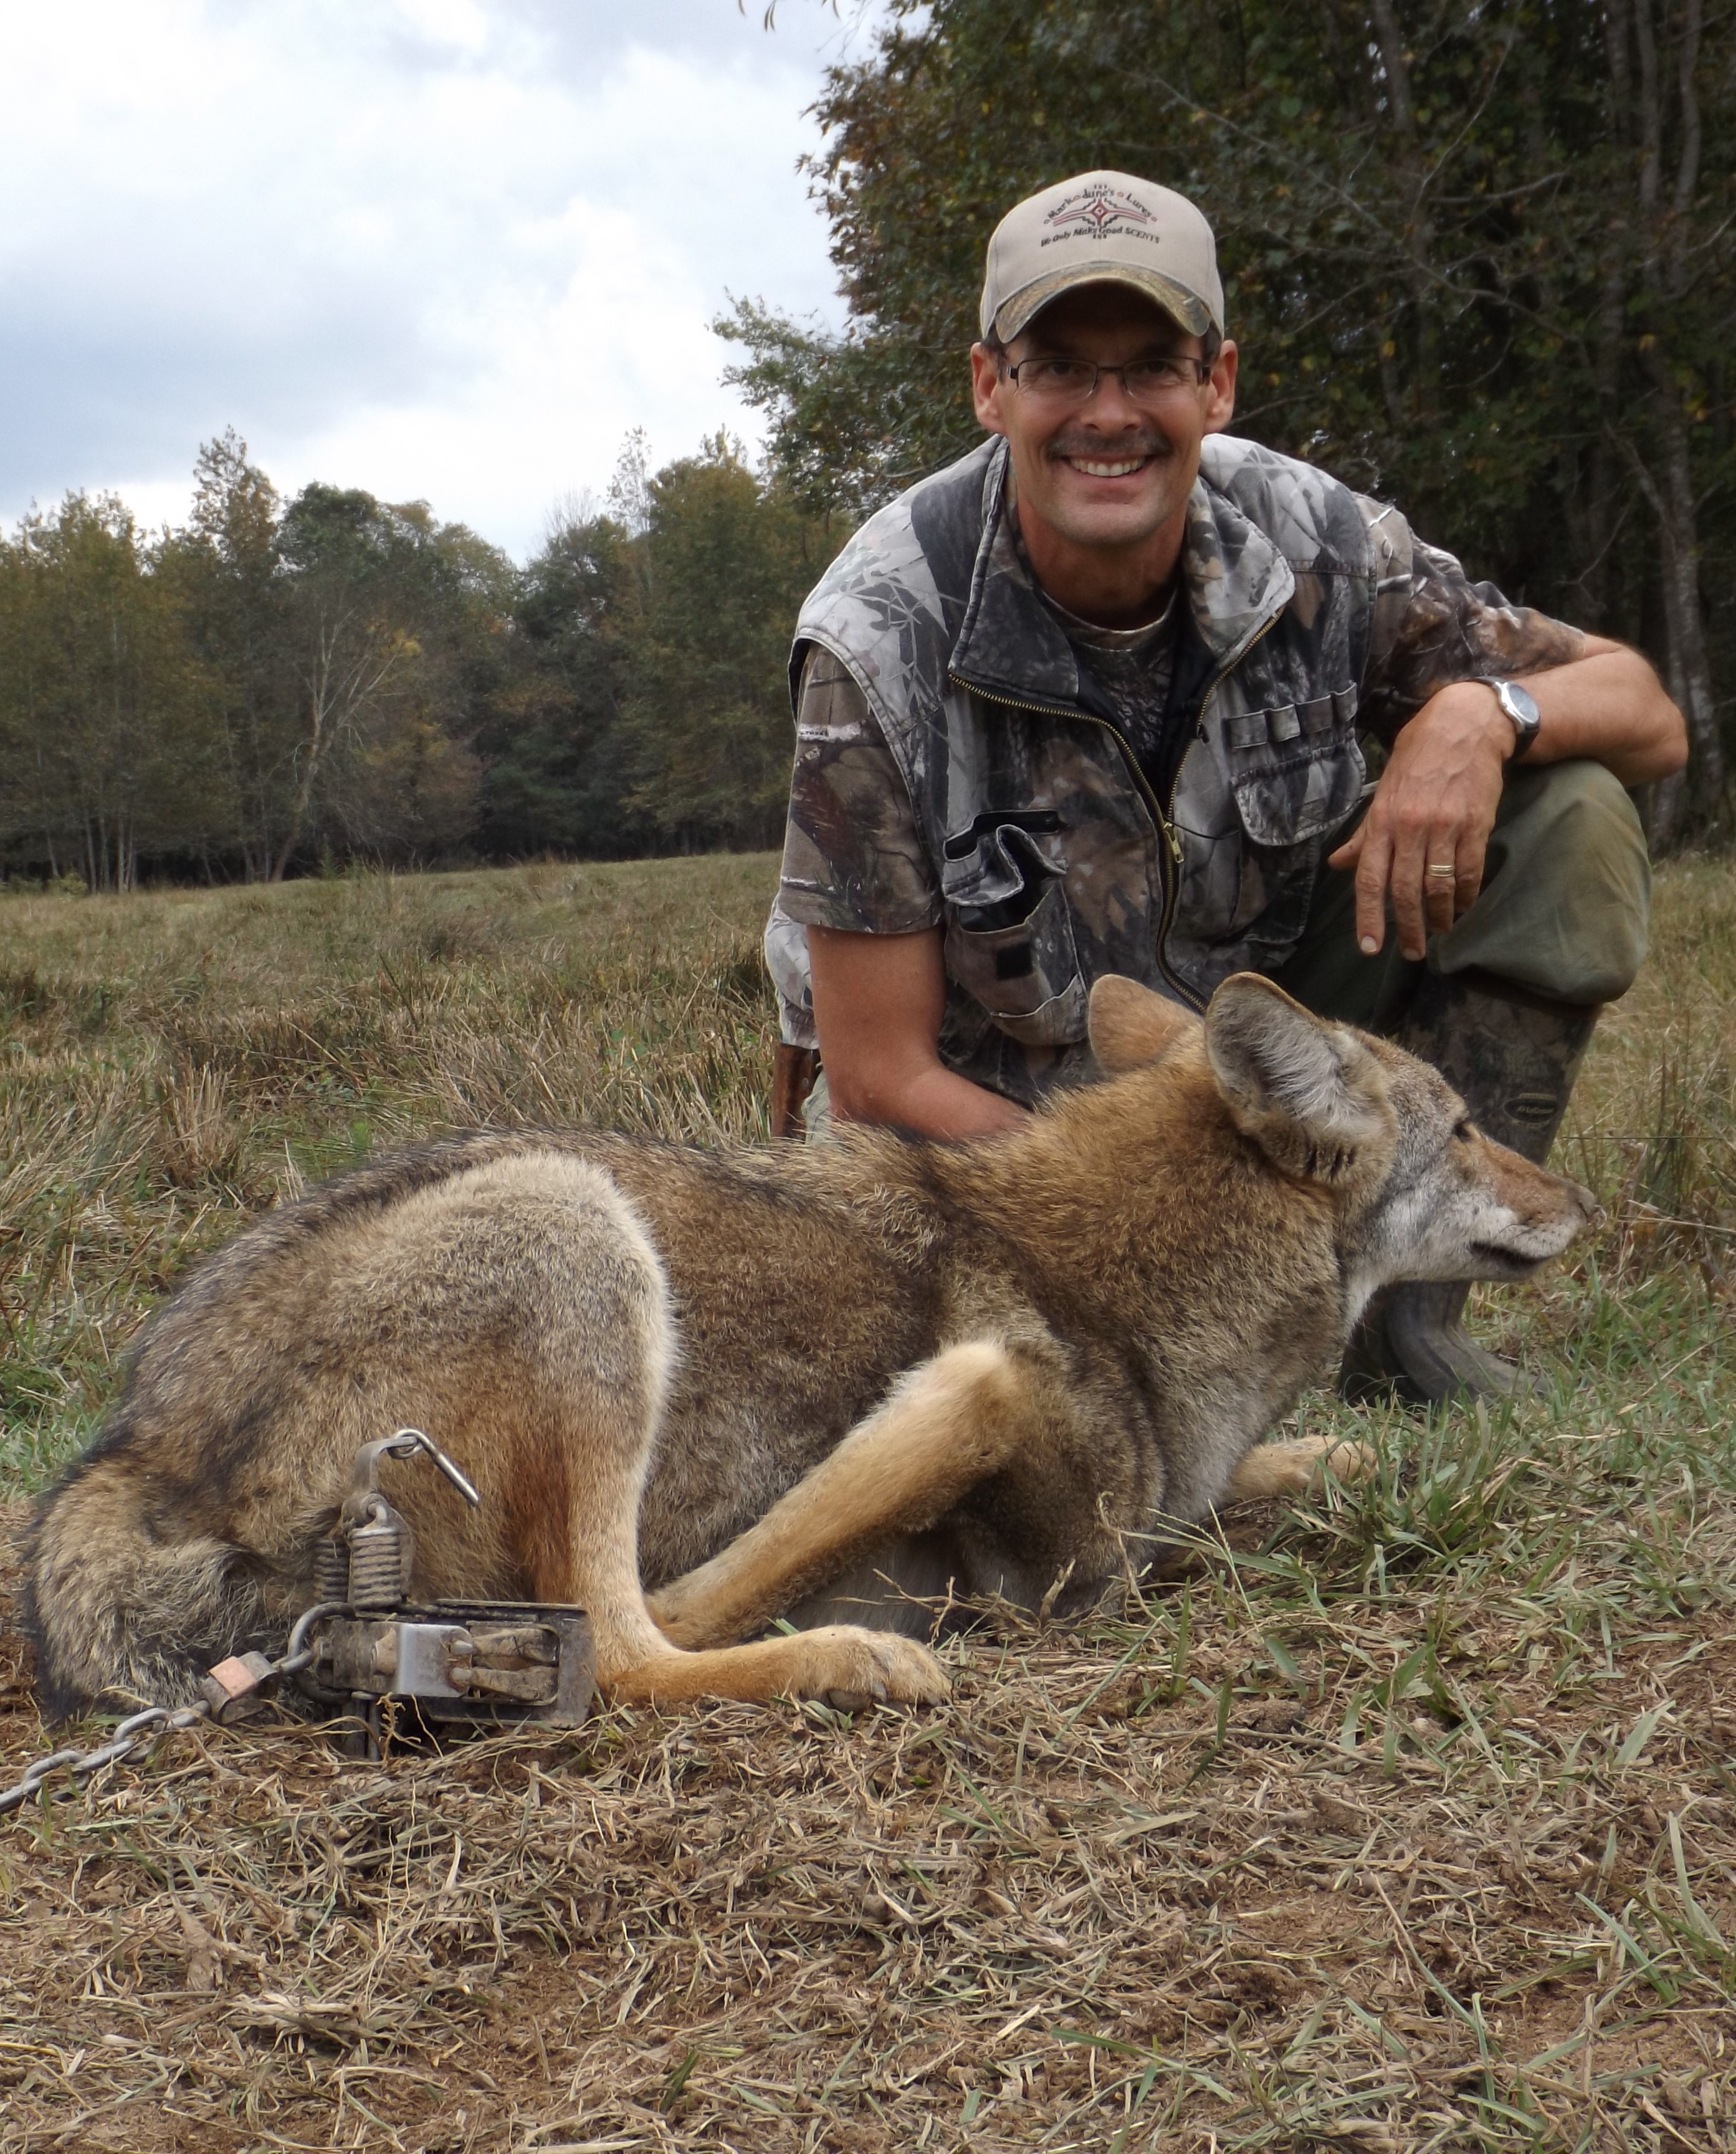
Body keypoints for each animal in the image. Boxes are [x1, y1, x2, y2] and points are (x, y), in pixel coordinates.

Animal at [24, 972, 1599, 1721]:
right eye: (1469, 1126)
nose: (1581, 1202)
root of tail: (135, 1452)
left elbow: (1318, 1462)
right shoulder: (1008, 1449)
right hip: (578, 1220)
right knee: (622, 1642)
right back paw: (853, 1655)